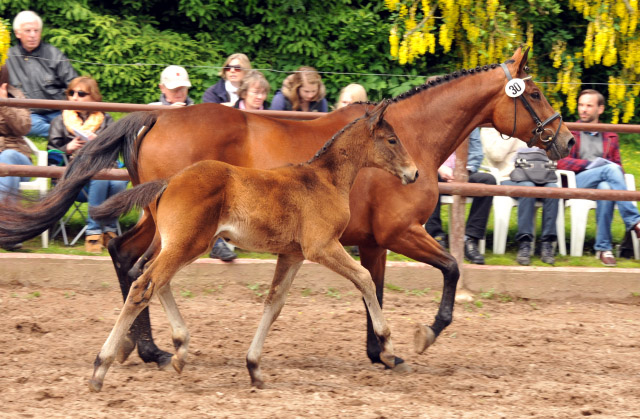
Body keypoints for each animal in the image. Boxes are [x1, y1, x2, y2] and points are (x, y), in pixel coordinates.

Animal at [87, 100, 420, 392]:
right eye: (392, 139)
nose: (414, 172)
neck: (325, 180)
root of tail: (169, 182)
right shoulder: (322, 246)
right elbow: (365, 278)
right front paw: (387, 349)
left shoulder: (292, 254)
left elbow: (274, 303)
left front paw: (254, 368)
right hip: (187, 244)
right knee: (143, 285)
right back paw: (102, 368)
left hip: (179, 244)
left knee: (149, 277)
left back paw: (178, 351)